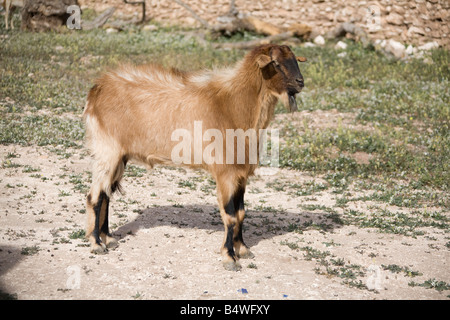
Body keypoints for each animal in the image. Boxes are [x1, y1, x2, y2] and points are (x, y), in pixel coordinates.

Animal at [83, 44, 308, 270]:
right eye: (275, 63)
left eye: (294, 59)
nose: (300, 82)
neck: (233, 105)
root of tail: (97, 90)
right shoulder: (225, 173)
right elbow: (230, 216)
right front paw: (229, 257)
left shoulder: (241, 174)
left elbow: (241, 213)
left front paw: (243, 249)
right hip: (107, 150)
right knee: (95, 195)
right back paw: (96, 243)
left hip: (119, 156)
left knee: (106, 194)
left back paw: (108, 238)